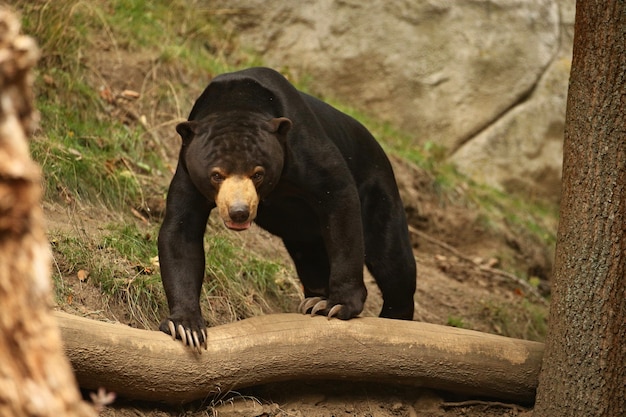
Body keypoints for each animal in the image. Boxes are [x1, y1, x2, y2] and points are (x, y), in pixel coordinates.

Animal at [158, 67, 416, 348]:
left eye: (258, 173)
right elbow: (181, 233)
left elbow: (339, 196)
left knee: (392, 260)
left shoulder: (303, 147)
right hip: (304, 238)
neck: (236, 101)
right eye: (216, 175)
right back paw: (315, 298)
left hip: (379, 192)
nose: (239, 212)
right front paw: (186, 328)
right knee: (312, 261)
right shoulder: (188, 171)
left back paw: (393, 316)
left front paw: (337, 306)